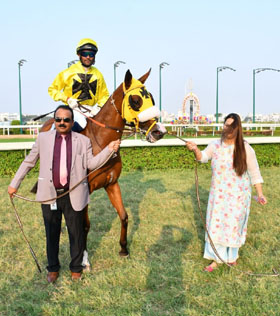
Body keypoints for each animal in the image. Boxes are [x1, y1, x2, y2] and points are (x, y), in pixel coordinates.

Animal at [39, 68, 166, 266]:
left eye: (151, 98)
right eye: (135, 100)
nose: (159, 132)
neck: (100, 144)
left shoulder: (112, 183)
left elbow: (124, 215)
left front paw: (123, 249)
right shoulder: (83, 189)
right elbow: (84, 225)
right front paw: (83, 260)